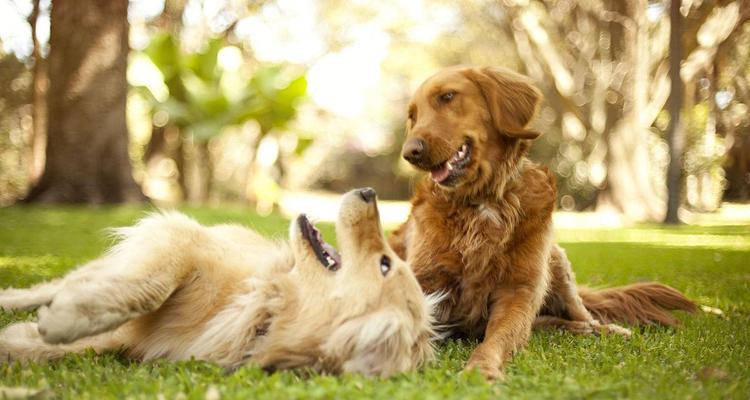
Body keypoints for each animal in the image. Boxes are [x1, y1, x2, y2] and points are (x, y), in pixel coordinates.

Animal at [0, 189, 438, 376]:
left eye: (385, 264)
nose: (369, 190)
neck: (265, 308)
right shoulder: (181, 239)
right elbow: (150, 287)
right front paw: (64, 320)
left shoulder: (133, 340)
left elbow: (60, 348)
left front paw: (26, 338)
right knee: (54, 285)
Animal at [390, 65, 696, 378]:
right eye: (413, 116)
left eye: (447, 97)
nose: (410, 152)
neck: (483, 202)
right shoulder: (425, 282)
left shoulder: (519, 291)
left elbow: (498, 338)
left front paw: (481, 368)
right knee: (549, 322)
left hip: (556, 262)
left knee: (582, 314)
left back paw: (604, 329)